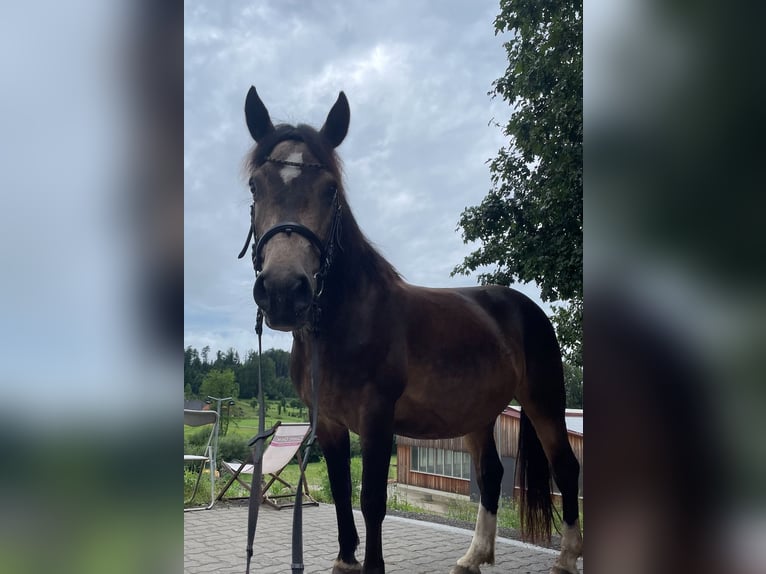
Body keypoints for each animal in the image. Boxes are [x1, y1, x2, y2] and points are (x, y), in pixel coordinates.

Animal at [240, 86, 584, 574]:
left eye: (330, 191)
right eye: (255, 186)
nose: (284, 291)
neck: (344, 323)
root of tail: (525, 307)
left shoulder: (377, 417)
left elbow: (372, 500)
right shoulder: (327, 422)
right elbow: (342, 491)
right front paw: (346, 560)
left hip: (545, 401)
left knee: (566, 468)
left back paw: (566, 558)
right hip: (477, 413)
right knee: (491, 474)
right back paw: (473, 556)